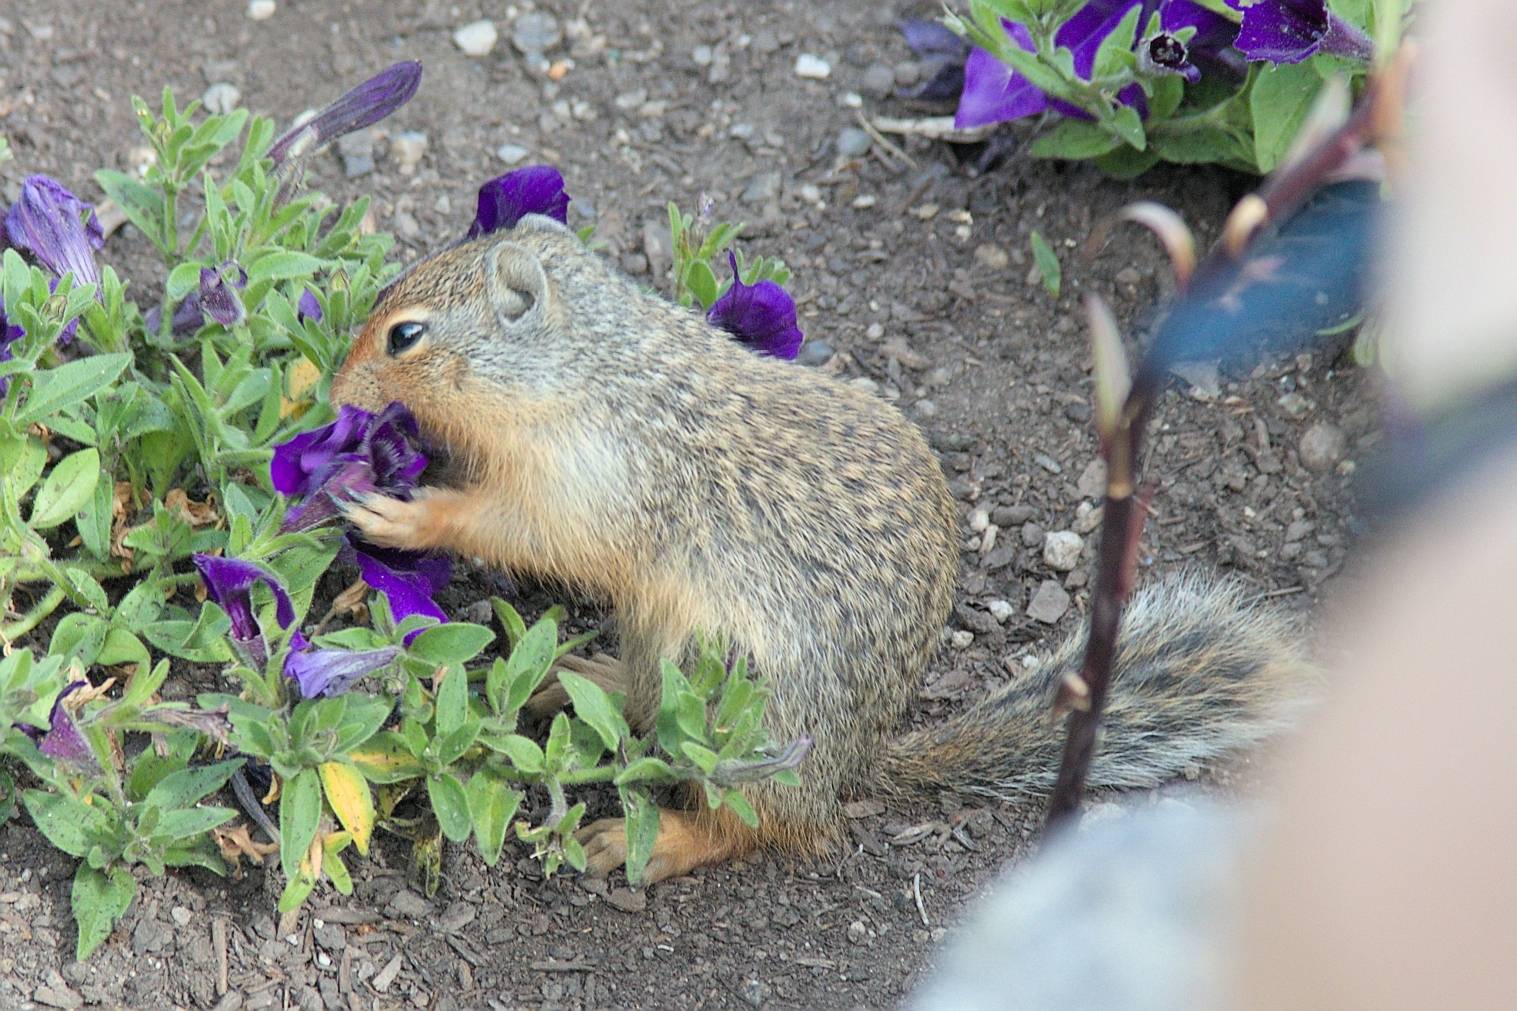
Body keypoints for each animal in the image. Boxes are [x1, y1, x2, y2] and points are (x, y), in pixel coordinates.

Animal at [330, 213, 1314, 884]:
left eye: (405, 334)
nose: (335, 392)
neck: (587, 369)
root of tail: (856, 763)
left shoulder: (588, 482)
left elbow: (521, 529)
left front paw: (404, 514)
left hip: (738, 704)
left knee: (755, 825)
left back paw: (649, 838)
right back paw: (582, 674)